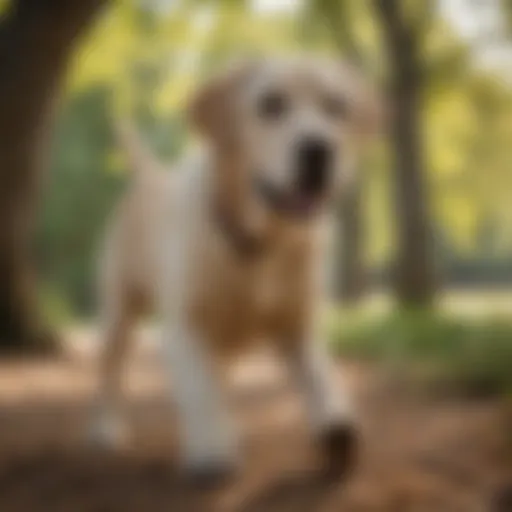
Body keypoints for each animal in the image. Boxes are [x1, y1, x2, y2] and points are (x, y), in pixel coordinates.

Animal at [90, 58, 382, 486]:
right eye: (270, 104)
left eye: (336, 107)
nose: (319, 150)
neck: (259, 243)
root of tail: (152, 176)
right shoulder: (185, 327)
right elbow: (201, 391)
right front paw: (212, 449)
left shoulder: (297, 325)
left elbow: (320, 374)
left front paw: (335, 427)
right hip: (119, 310)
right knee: (110, 373)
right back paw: (105, 428)